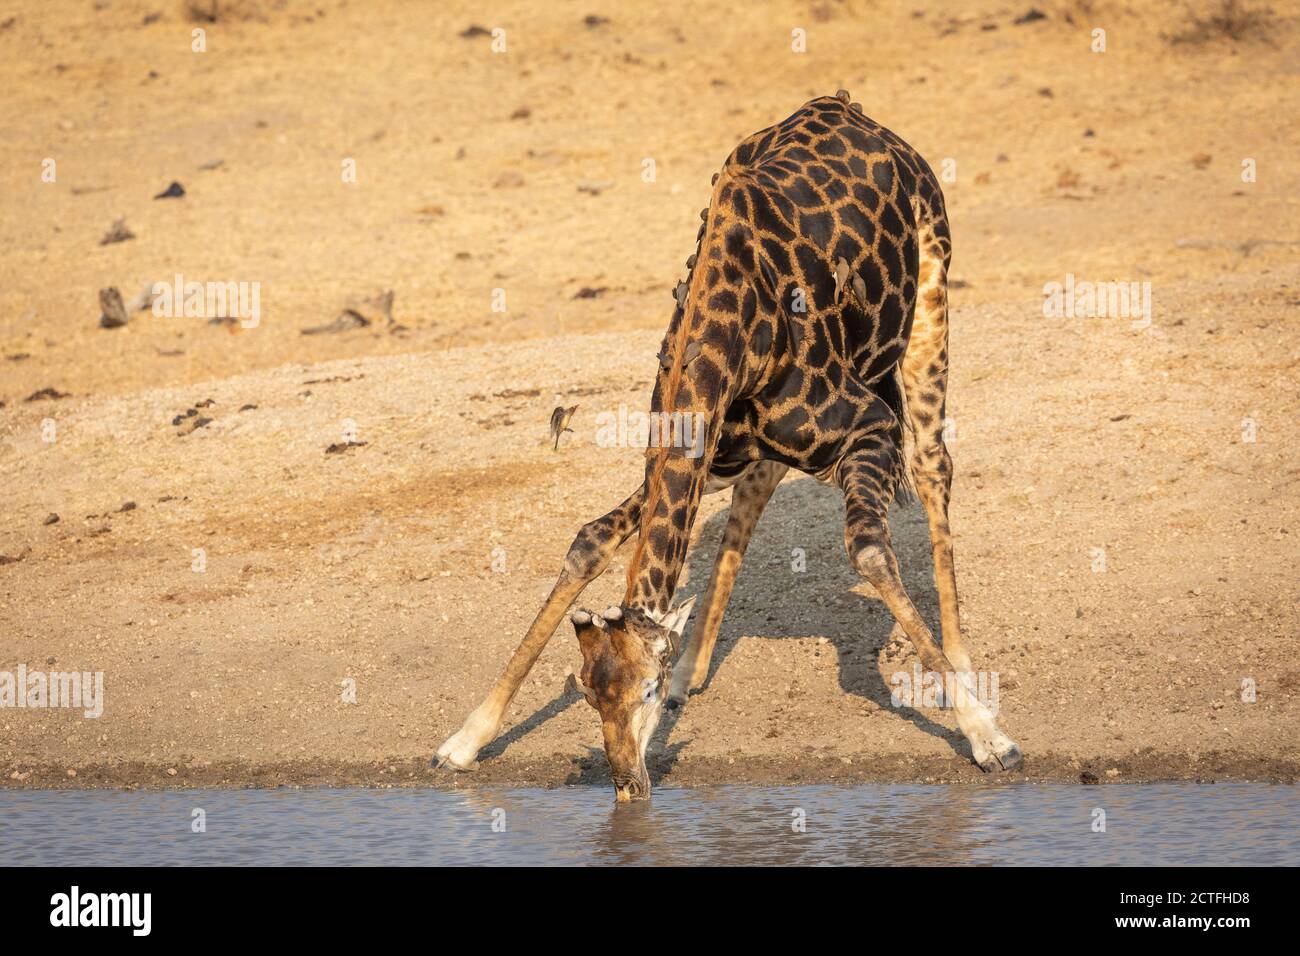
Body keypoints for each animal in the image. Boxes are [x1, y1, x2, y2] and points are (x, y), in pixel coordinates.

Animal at [436, 93, 1024, 801]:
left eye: (645, 690)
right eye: (588, 695)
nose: (629, 787)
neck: (738, 332)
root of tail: (850, 107)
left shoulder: (870, 428)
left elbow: (870, 552)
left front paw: (990, 738)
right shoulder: (697, 448)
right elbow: (589, 540)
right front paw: (464, 739)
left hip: (930, 310)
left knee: (935, 465)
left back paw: (961, 666)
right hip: (740, 453)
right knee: (757, 488)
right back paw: (696, 667)